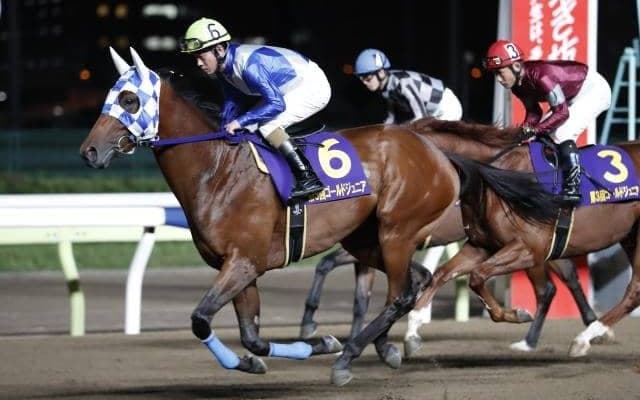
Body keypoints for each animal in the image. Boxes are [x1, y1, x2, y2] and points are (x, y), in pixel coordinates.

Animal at [79, 47, 565, 386]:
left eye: (129, 98)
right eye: (109, 95)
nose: (89, 151)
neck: (218, 170)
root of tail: (436, 151)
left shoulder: (243, 263)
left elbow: (200, 319)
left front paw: (318, 344)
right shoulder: (240, 268)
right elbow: (251, 335)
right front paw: (285, 351)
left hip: (397, 230)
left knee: (400, 294)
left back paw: (352, 358)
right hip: (366, 238)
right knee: (415, 282)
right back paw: (385, 346)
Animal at [405, 117, 640, 357]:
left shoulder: (529, 248)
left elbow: (477, 276)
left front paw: (517, 314)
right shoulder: (482, 246)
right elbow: (441, 274)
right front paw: (412, 331)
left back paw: (575, 338)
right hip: (628, 235)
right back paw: (583, 336)